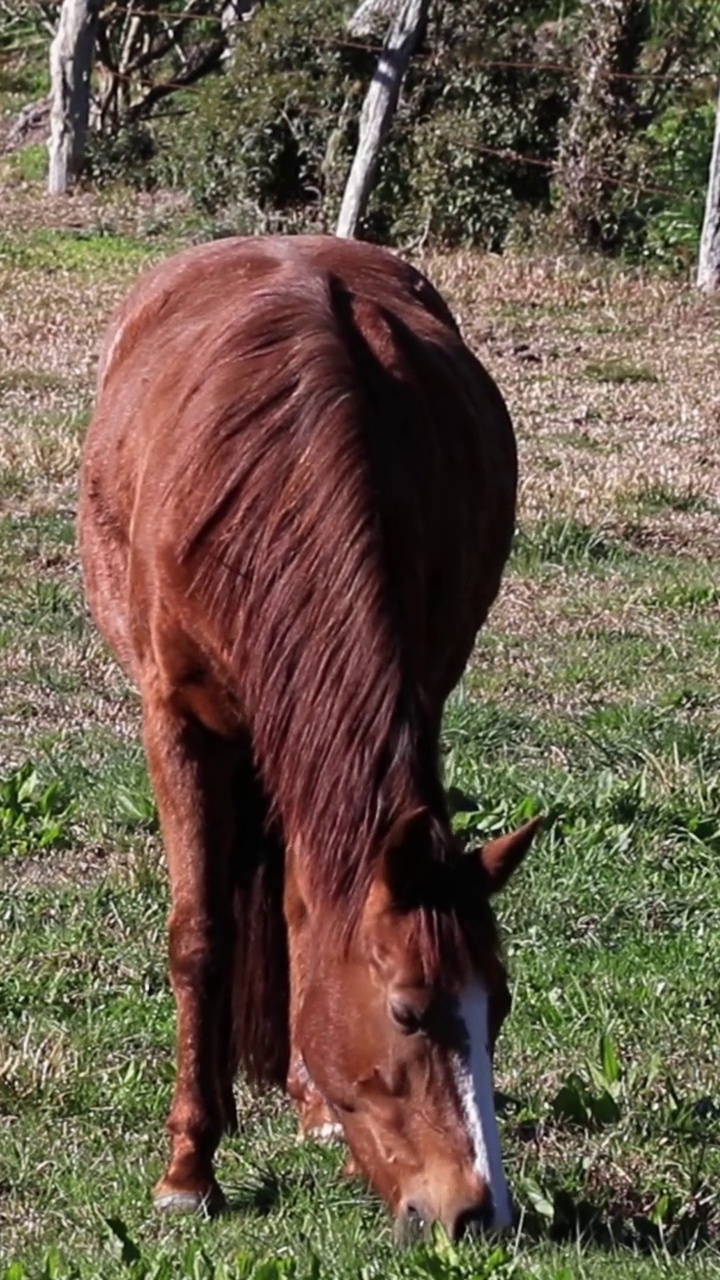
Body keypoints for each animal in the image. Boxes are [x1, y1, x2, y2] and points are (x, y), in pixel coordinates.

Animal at [79, 230, 538, 1239]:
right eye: (407, 1013)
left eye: (500, 1005)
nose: (477, 1213)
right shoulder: (176, 722)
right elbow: (201, 935)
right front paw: (188, 1170)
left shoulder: (416, 694)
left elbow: (307, 910)